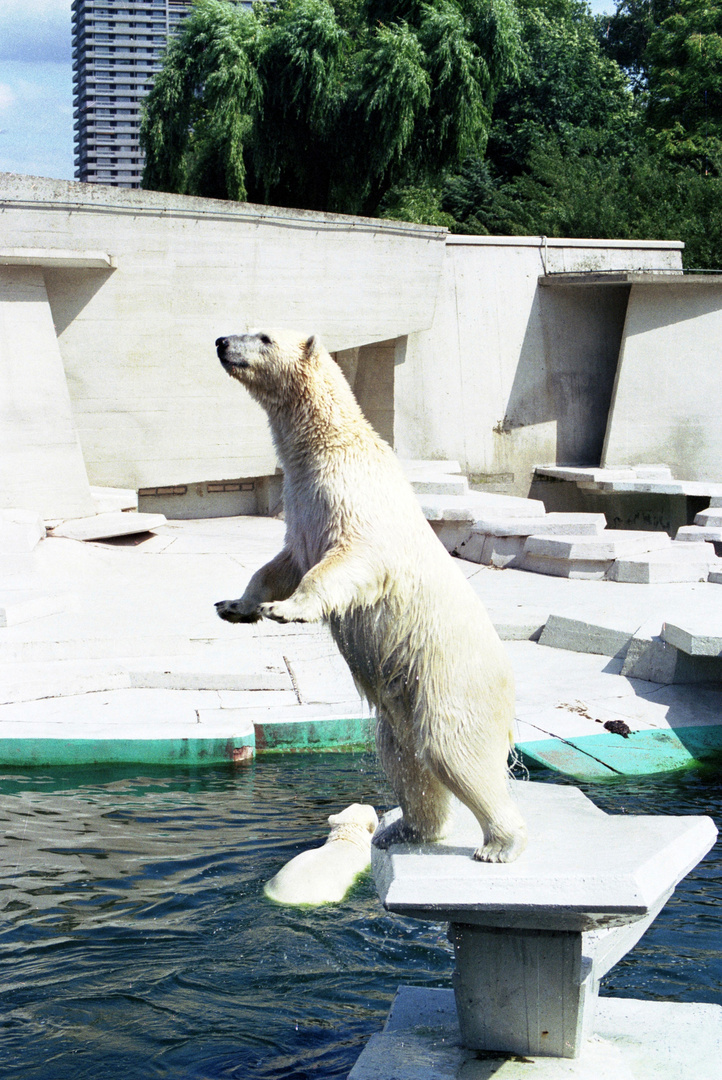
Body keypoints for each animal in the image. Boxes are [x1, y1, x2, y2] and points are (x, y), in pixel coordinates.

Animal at [212, 328, 524, 859]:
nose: (220, 342)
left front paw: (287, 610)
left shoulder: (352, 500)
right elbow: (280, 565)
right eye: (244, 328)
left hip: (449, 678)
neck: (331, 447)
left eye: (264, 336)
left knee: (453, 750)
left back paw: (499, 843)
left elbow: (349, 560)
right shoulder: (302, 506)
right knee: (404, 756)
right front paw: (236, 606)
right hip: (405, 697)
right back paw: (409, 829)